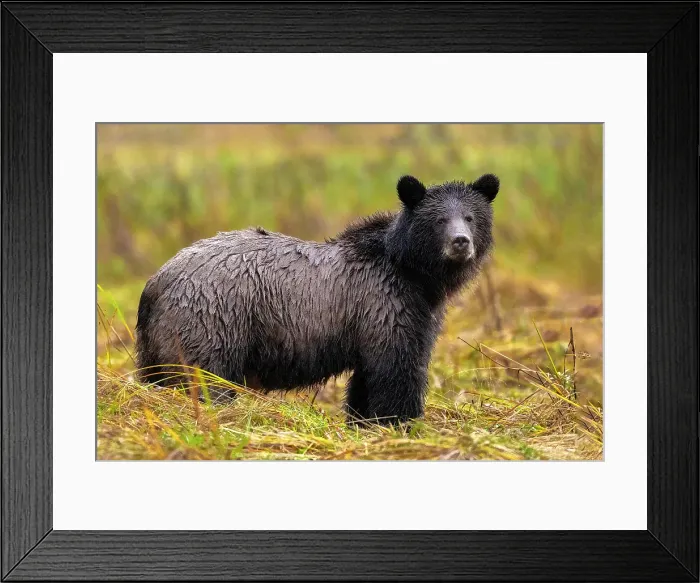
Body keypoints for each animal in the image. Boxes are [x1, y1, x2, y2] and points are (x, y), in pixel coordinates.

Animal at [135, 173, 499, 424]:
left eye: (471, 216)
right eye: (439, 219)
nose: (461, 242)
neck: (415, 275)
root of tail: (157, 280)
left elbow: (365, 382)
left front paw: (363, 421)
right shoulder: (385, 306)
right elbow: (396, 373)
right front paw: (399, 422)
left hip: (157, 344)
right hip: (212, 320)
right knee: (206, 380)